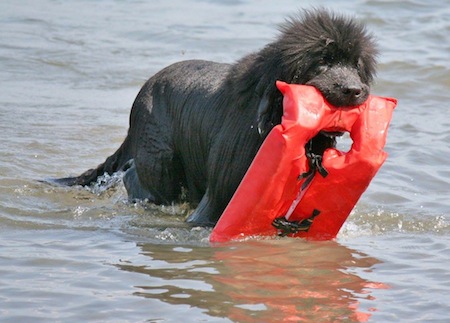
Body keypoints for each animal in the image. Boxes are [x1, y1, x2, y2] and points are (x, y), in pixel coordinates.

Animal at [58, 8, 378, 227]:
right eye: (322, 62)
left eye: (356, 65)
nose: (355, 90)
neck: (273, 118)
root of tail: (141, 94)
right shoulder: (222, 190)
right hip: (162, 160)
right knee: (138, 176)